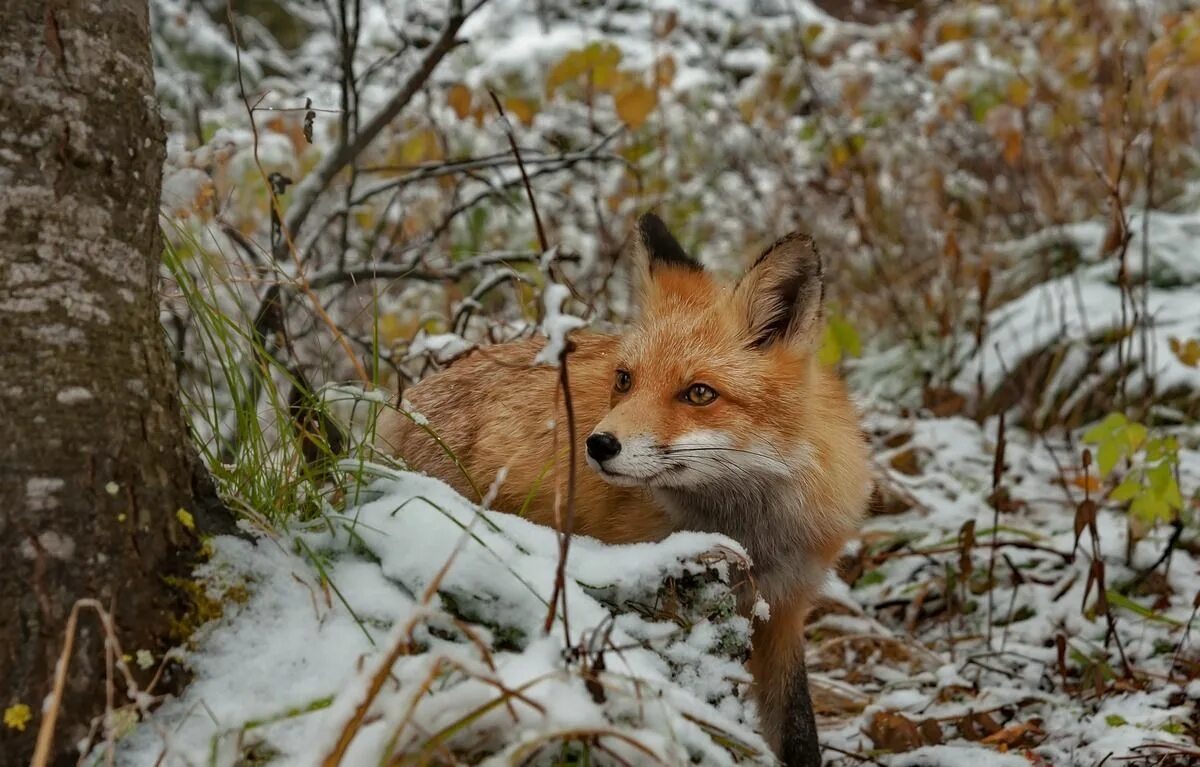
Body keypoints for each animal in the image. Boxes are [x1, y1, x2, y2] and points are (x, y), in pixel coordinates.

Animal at [376, 213, 873, 763]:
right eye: (624, 380)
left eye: (699, 393)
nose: (597, 445)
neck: (747, 533)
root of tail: (406, 399)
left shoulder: (785, 609)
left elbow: (799, 731)